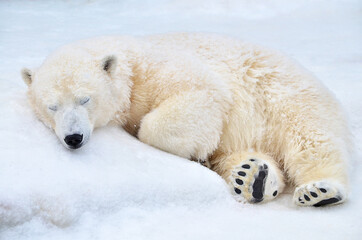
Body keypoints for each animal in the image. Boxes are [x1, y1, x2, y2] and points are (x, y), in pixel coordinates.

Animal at [21, 33, 352, 206]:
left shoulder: (157, 70)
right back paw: (252, 178)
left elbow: (199, 92)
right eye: (51, 106)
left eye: (84, 99)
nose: (73, 138)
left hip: (283, 97)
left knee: (311, 138)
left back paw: (319, 190)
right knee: (237, 156)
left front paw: (192, 150)